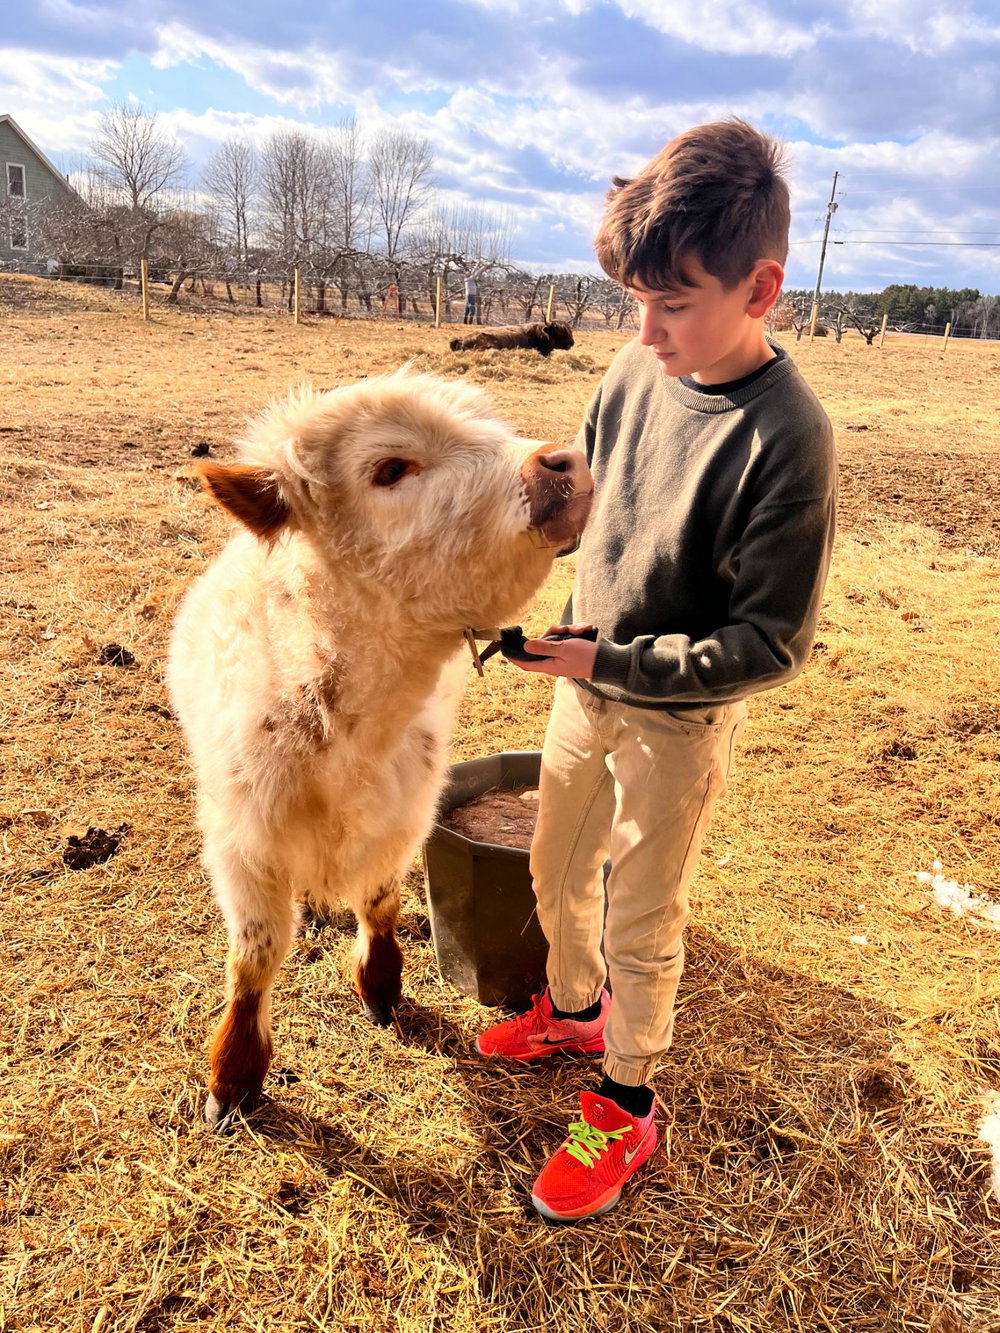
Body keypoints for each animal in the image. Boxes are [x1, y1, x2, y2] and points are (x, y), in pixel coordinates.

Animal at [166, 369, 592, 1127]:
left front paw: (381, 990)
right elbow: (254, 955)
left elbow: (380, 902)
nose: (562, 464)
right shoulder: (244, 840)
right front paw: (233, 1079)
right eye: (390, 468)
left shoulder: (405, 812)